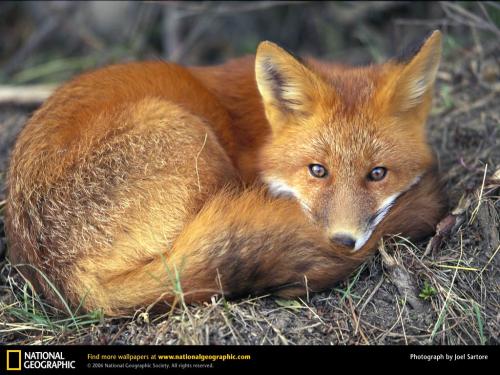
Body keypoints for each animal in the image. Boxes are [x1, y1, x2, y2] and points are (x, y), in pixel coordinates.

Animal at [5, 30, 448, 316]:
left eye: (378, 173)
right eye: (317, 170)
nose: (343, 241)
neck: (262, 132)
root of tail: (65, 280)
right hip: (191, 136)